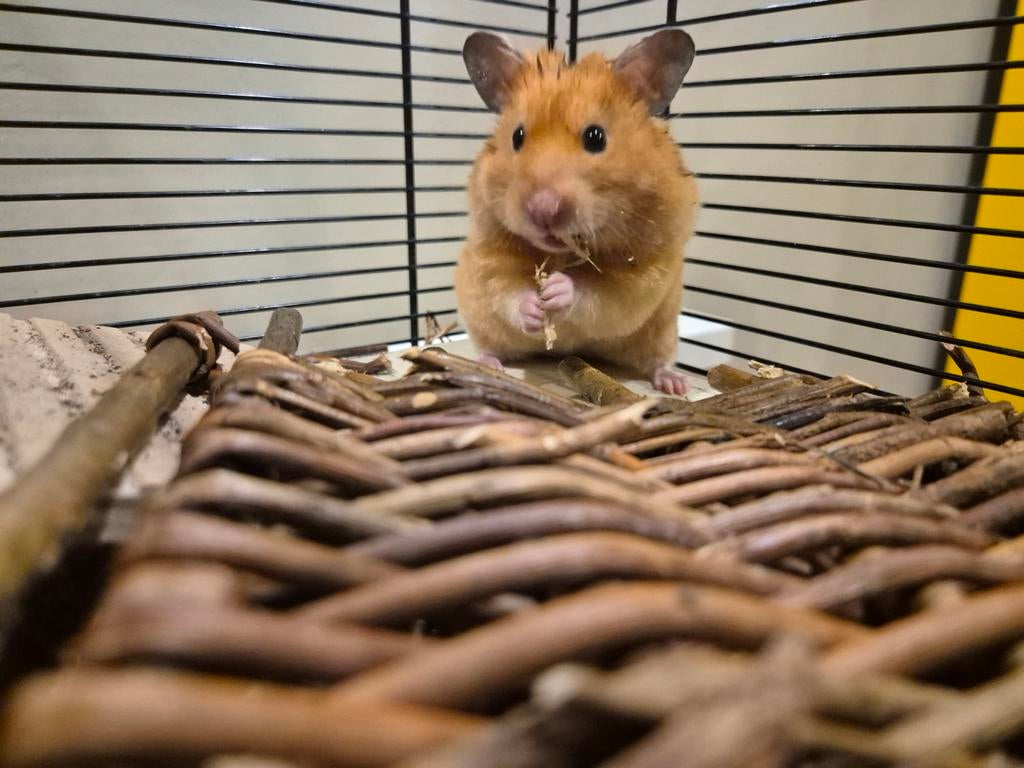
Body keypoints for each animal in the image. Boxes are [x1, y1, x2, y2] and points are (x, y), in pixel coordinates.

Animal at [454, 29, 698, 395]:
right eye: (517, 136)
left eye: (596, 137)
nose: (542, 210)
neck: (560, 253)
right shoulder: (488, 252)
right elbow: (508, 288)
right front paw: (535, 306)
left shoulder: (642, 273)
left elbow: (596, 292)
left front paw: (556, 290)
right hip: (480, 317)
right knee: (489, 345)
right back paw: (487, 363)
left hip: (662, 330)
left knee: (658, 360)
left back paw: (674, 384)